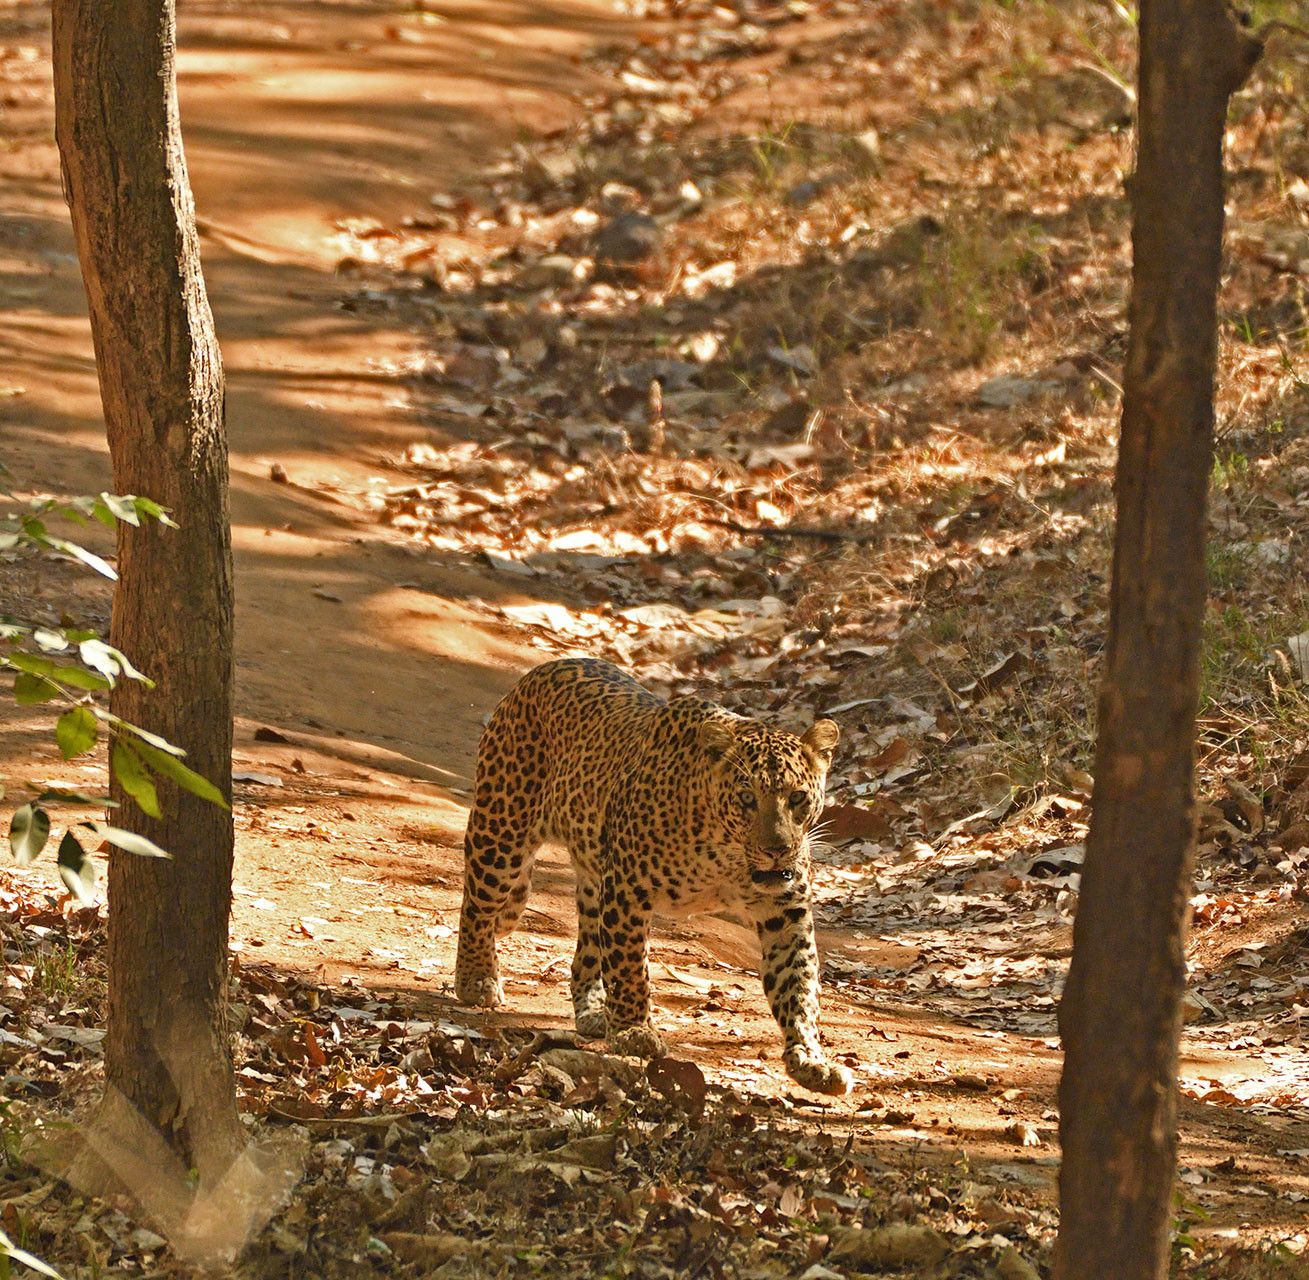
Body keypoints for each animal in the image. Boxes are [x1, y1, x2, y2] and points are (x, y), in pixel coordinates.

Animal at [454, 657, 853, 1096]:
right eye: (747, 798)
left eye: (797, 797)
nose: (776, 848)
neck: (725, 856)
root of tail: (542, 670)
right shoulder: (627, 890)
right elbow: (630, 967)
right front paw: (635, 1032)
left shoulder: (785, 912)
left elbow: (797, 984)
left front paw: (811, 1060)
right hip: (501, 835)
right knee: (476, 908)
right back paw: (476, 980)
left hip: (593, 880)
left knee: (587, 951)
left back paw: (594, 1013)